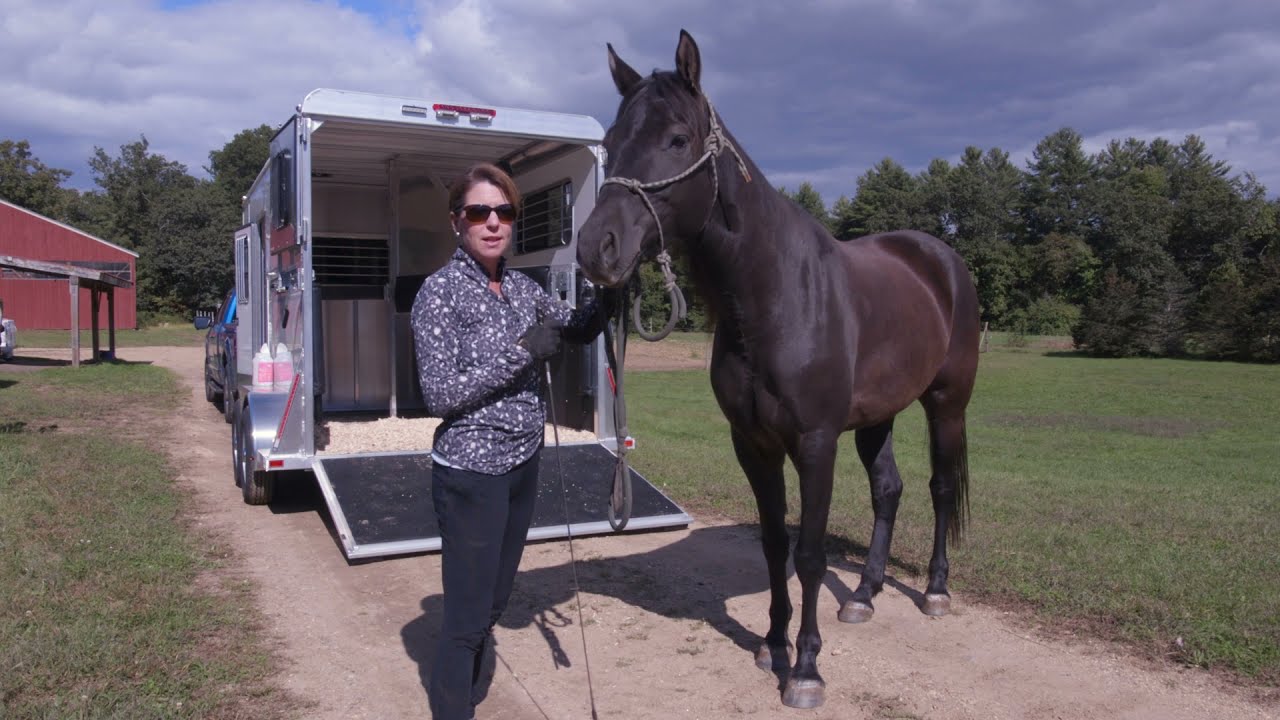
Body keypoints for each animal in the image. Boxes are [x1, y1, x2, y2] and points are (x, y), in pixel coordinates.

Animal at [576, 30, 980, 709]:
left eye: (677, 139)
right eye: (610, 139)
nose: (595, 248)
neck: (775, 297)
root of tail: (942, 260)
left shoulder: (815, 443)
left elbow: (810, 553)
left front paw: (808, 670)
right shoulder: (753, 444)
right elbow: (773, 546)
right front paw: (772, 645)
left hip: (946, 404)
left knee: (940, 487)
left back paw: (935, 591)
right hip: (878, 416)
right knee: (889, 490)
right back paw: (864, 596)